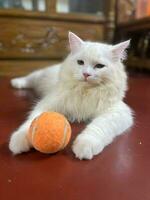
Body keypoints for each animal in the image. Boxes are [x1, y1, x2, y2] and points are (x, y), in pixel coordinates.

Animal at [8, 31, 133, 159]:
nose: (86, 74)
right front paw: (18, 140)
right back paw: (16, 82)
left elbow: (98, 126)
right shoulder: (48, 104)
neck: (85, 91)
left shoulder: (117, 112)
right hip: (39, 76)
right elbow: (31, 122)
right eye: (80, 62)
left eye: (99, 66)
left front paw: (85, 146)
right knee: (29, 77)